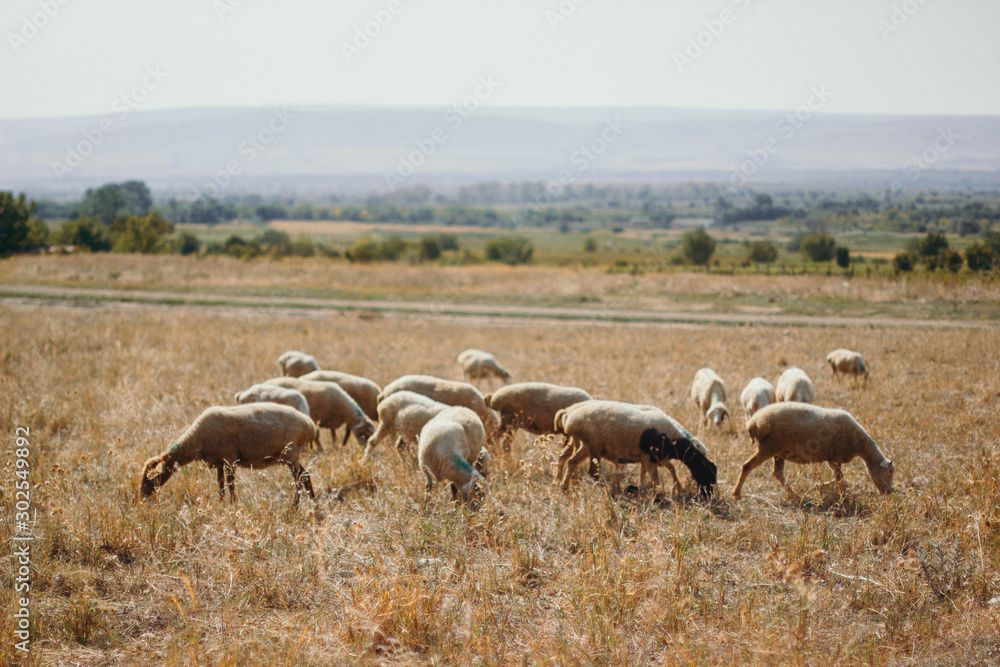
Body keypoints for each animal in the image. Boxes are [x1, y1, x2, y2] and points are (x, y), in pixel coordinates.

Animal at [138, 402, 316, 506]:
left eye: (151, 477)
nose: (142, 497)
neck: (196, 439)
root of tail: (310, 425)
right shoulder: (219, 461)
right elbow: (221, 484)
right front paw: (222, 504)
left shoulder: (230, 459)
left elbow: (230, 485)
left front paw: (233, 504)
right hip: (291, 456)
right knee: (305, 475)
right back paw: (313, 502)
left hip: (290, 454)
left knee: (300, 477)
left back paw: (295, 506)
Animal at [552, 400, 716, 498]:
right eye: (707, 472)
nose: (708, 495)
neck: (674, 442)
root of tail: (570, 416)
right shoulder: (650, 459)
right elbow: (656, 481)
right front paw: (632, 488)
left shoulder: (651, 459)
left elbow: (669, 470)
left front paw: (678, 489)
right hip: (594, 445)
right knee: (593, 472)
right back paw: (609, 491)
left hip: (588, 446)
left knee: (572, 462)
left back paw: (564, 488)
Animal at [732, 402, 896, 500]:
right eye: (890, 472)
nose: (889, 492)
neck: (859, 443)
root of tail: (754, 422)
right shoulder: (836, 456)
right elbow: (840, 478)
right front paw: (834, 492)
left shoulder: (831, 458)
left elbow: (839, 477)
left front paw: (819, 486)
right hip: (769, 447)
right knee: (747, 466)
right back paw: (737, 493)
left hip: (778, 452)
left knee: (777, 473)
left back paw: (794, 495)